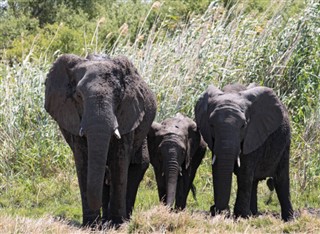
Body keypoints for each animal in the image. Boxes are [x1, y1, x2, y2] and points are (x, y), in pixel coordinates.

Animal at [44, 53, 157, 227]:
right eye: (78, 96)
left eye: (118, 95)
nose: (104, 221)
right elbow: (83, 162)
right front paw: (91, 226)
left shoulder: (127, 113)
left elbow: (119, 163)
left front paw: (117, 224)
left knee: (137, 166)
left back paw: (121, 219)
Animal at [194, 82, 294, 221]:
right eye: (211, 125)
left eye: (243, 126)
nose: (215, 209)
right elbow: (217, 170)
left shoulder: (253, 134)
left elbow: (244, 172)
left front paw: (241, 216)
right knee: (254, 181)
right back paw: (253, 214)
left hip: (285, 143)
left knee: (281, 179)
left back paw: (288, 219)